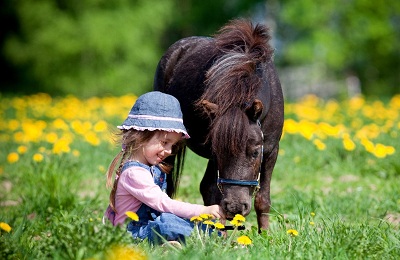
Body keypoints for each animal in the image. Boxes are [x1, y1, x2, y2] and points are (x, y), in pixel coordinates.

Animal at [153, 19, 284, 231]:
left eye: (255, 152)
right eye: (219, 150)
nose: (236, 206)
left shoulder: (271, 150)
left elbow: (263, 199)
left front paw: (265, 235)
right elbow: (213, 193)